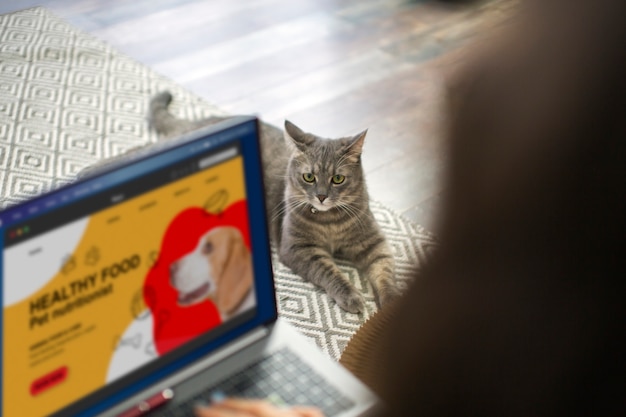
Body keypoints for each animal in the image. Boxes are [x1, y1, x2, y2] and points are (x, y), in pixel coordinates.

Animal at [149, 91, 398, 312]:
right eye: (309, 177)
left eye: (338, 179)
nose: (321, 196)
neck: (330, 222)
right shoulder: (298, 248)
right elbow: (329, 271)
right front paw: (350, 295)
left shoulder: (374, 242)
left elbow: (385, 272)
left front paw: (392, 303)